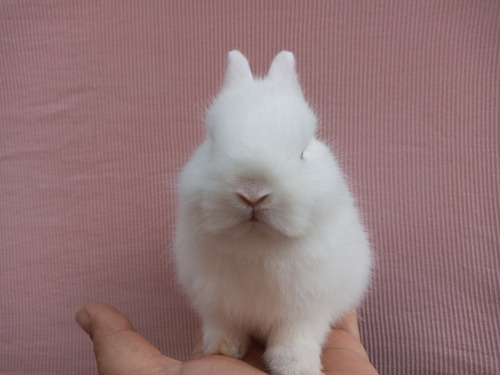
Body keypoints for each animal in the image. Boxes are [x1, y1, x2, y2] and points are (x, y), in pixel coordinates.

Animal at [174, 50, 374, 375]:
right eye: (212, 145)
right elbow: (223, 327)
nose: (253, 191)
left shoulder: (306, 308)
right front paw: (222, 350)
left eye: (303, 152)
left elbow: (294, 340)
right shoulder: (216, 304)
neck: (258, 245)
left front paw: (296, 368)